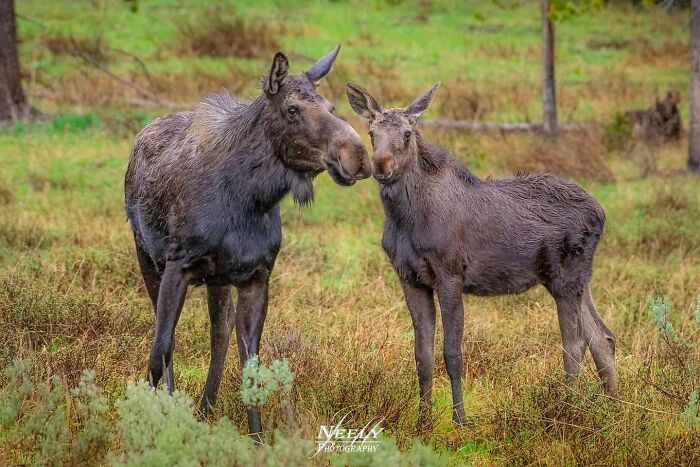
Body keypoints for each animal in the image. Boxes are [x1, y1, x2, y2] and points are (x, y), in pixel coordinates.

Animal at [124, 45, 370, 440]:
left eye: (331, 106)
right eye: (292, 109)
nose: (357, 156)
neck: (250, 199)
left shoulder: (256, 276)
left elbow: (251, 366)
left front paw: (257, 440)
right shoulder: (177, 265)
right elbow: (161, 346)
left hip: (217, 279)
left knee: (219, 335)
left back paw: (206, 410)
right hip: (146, 254)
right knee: (169, 339)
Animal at [345, 81, 617, 428]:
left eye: (407, 133)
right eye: (371, 132)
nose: (381, 164)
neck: (407, 219)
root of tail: (602, 213)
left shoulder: (450, 274)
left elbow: (452, 352)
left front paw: (460, 419)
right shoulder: (410, 277)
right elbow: (422, 355)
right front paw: (423, 422)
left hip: (565, 277)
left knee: (575, 343)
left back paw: (567, 414)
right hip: (577, 279)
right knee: (602, 338)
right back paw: (615, 409)